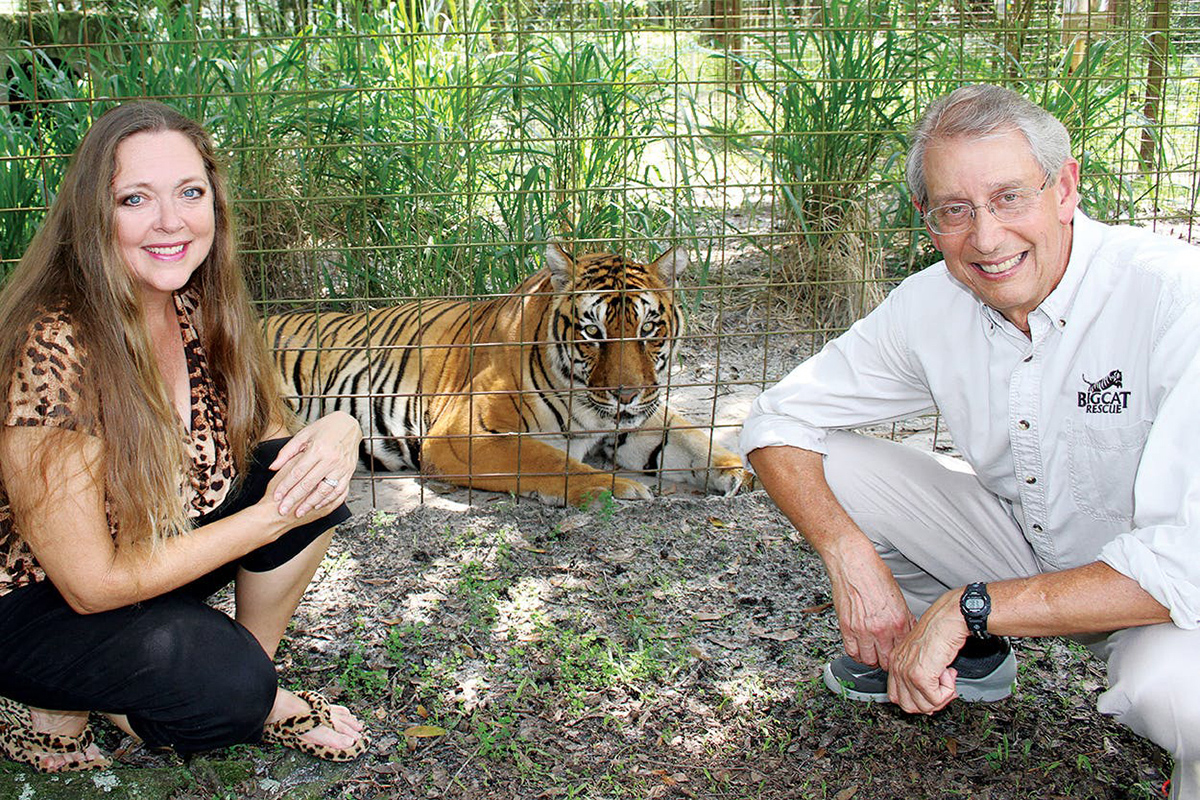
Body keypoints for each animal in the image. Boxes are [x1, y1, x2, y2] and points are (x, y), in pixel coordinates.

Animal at [263, 243, 751, 506]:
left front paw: (735, 471)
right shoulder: (463, 433)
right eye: (593, 333)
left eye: (648, 330)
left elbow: (690, 438)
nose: (625, 395)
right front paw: (616, 487)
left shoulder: (636, 420)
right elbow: (550, 461)